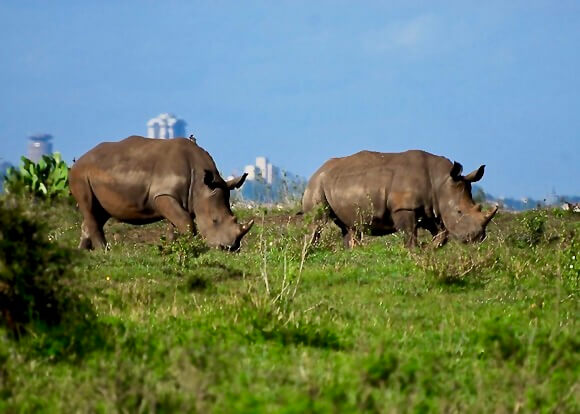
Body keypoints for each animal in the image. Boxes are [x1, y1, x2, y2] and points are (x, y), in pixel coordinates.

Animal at [69, 137, 253, 251]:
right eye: (214, 220)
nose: (231, 248)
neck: (201, 185)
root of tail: (78, 160)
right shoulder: (163, 195)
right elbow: (186, 222)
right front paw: (193, 247)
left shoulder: (178, 198)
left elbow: (176, 225)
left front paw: (172, 248)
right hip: (80, 175)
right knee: (90, 208)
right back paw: (104, 251)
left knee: (98, 213)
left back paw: (83, 252)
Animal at [302, 152, 496, 249]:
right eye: (459, 211)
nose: (477, 238)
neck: (440, 181)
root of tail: (318, 169)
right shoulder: (405, 208)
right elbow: (410, 234)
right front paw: (414, 251)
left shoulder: (430, 208)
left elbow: (442, 234)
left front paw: (430, 248)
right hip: (317, 183)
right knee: (317, 221)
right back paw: (311, 250)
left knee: (349, 227)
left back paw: (350, 251)